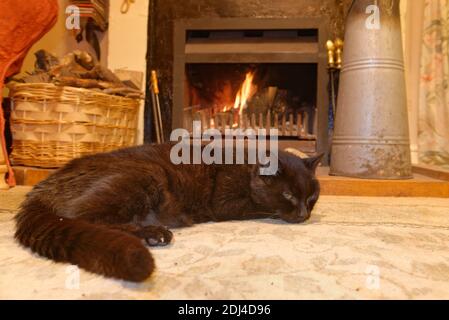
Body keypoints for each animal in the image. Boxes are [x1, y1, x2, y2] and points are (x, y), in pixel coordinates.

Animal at [14, 144, 322, 282]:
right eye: (288, 195)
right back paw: (154, 233)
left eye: (311, 197)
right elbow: (260, 207)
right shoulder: (226, 203)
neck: (246, 167)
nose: (304, 214)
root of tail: (41, 189)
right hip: (145, 174)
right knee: (84, 217)